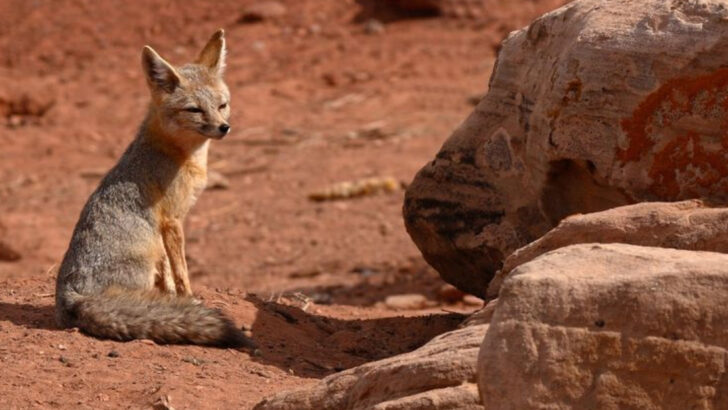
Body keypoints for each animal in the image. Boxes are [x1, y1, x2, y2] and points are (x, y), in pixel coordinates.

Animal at [55, 29, 255, 349]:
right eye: (194, 109)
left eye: (222, 105)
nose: (224, 127)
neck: (180, 154)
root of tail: (71, 296)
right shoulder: (172, 219)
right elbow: (181, 271)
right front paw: (189, 300)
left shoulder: (163, 228)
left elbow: (169, 275)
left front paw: (174, 299)